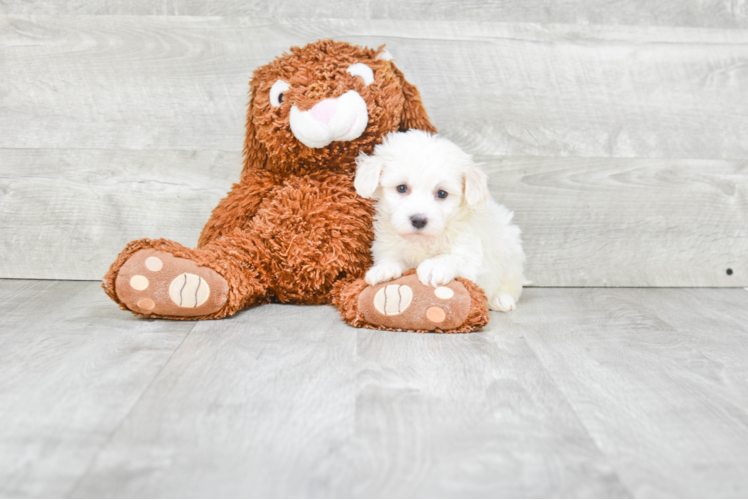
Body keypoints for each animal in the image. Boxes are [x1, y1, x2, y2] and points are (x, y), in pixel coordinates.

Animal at [356, 130, 524, 308]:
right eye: (401, 188)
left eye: (442, 193)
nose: (418, 220)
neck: (422, 240)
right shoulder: (388, 245)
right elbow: (392, 257)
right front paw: (383, 269)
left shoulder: (471, 254)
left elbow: (453, 257)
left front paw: (434, 266)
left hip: (511, 256)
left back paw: (501, 298)